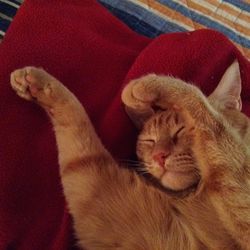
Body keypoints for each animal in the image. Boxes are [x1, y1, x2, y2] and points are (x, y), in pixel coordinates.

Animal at [10, 61, 250, 250]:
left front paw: (145, 86)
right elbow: (74, 119)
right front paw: (37, 85)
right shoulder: (91, 182)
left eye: (183, 130)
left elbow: (200, 103)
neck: (192, 196)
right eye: (149, 141)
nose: (159, 156)